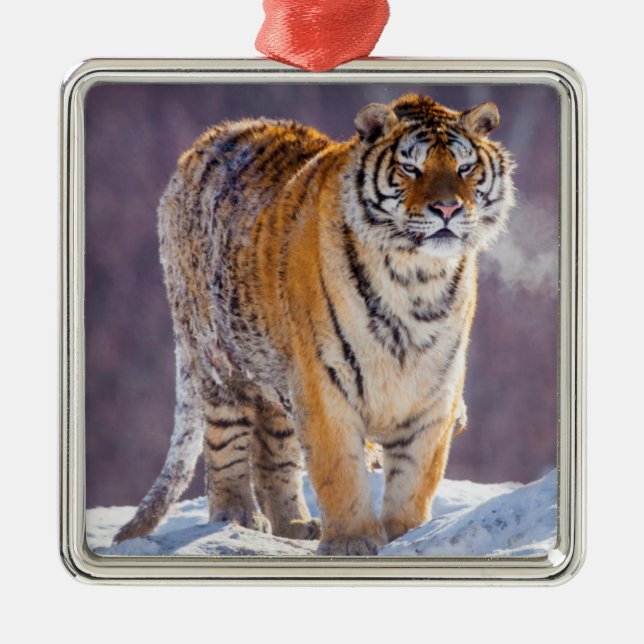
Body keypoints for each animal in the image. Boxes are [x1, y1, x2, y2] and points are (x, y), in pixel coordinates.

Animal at [112, 94, 515, 555]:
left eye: (465, 168)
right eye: (411, 168)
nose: (447, 208)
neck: (416, 279)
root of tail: (203, 143)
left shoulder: (433, 390)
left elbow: (416, 475)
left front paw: (406, 535)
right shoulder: (324, 380)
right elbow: (339, 468)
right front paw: (352, 542)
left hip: (277, 375)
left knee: (273, 451)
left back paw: (294, 524)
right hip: (218, 361)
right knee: (225, 443)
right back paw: (239, 516)